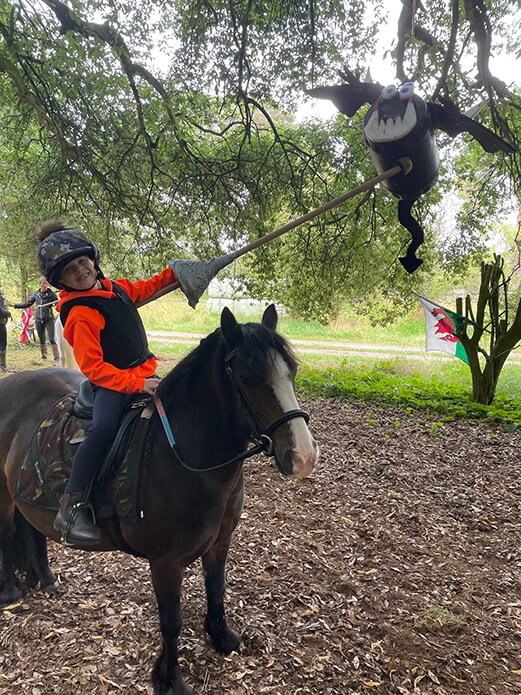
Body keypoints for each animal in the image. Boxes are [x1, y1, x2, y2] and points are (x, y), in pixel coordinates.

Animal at [0, 308, 316, 695]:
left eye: (292, 372)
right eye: (247, 377)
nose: (303, 456)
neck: (184, 455)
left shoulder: (219, 544)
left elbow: (216, 590)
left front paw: (221, 637)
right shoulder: (166, 562)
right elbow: (171, 622)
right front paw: (170, 679)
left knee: (32, 530)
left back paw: (45, 578)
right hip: (3, 496)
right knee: (7, 534)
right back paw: (10, 592)